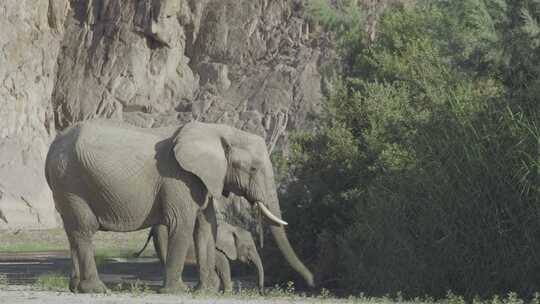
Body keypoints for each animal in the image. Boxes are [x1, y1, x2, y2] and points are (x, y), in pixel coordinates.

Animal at [46, 120, 314, 294]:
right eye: (254, 168)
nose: (311, 282)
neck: (217, 130)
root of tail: (54, 143)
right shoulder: (177, 177)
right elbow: (182, 223)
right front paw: (177, 292)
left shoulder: (200, 179)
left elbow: (206, 226)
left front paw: (205, 293)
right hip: (71, 182)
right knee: (84, 229)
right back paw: (96, 290)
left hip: (64, 185)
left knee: (73, 231)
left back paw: (75, 288)